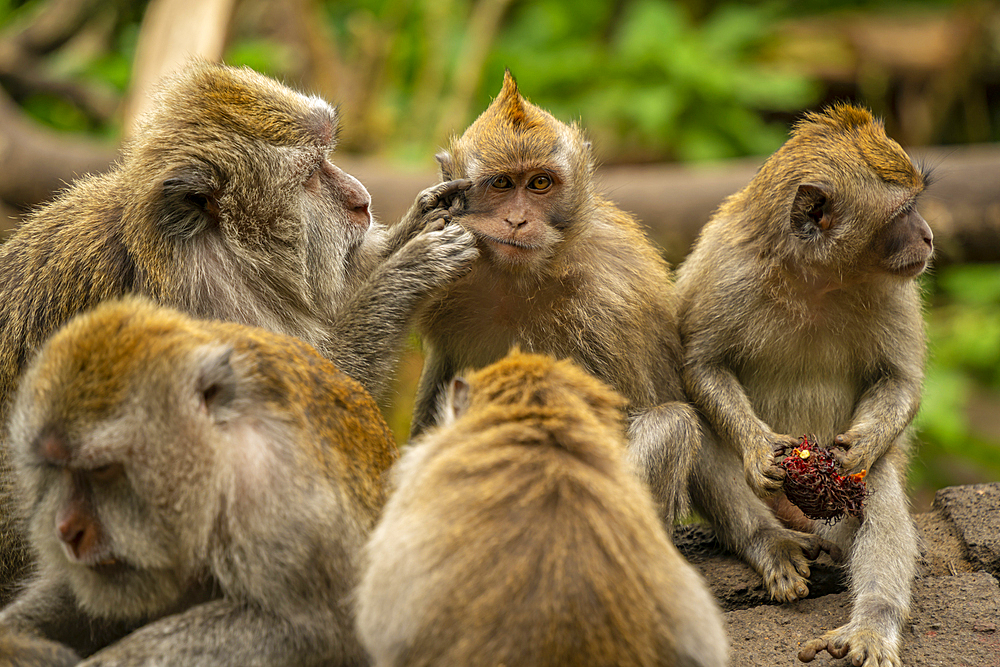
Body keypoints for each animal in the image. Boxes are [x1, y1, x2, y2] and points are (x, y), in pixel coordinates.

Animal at [0, 58, 478, 600]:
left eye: (329, 158)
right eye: (312, 175)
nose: (361, 199)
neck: (206, 256)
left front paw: (420, 220)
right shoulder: (199, 321)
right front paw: (409, 271)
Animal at [0, 298, 398, 667]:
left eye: (101, 469)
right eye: (57, 469)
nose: (67, 530)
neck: (222, 464)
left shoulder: (282, 499)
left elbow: (308, 630)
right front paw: (17, 641)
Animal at [410, 72, 700, 520]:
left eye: (540, 183)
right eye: (502, 183)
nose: (517, 220)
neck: (520, 278)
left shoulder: (609, 296)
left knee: (669, 424)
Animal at [676, 103, 932, 667]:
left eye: (916, 205)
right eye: (903, 210)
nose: (927, 235)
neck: (817, 276)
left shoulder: (897, 285)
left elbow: (900, 380)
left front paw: (860, 448)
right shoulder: (726, 270)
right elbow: (701, 366)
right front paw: (757, 449)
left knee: (877, 486)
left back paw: (872, 623)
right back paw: (770, 545)